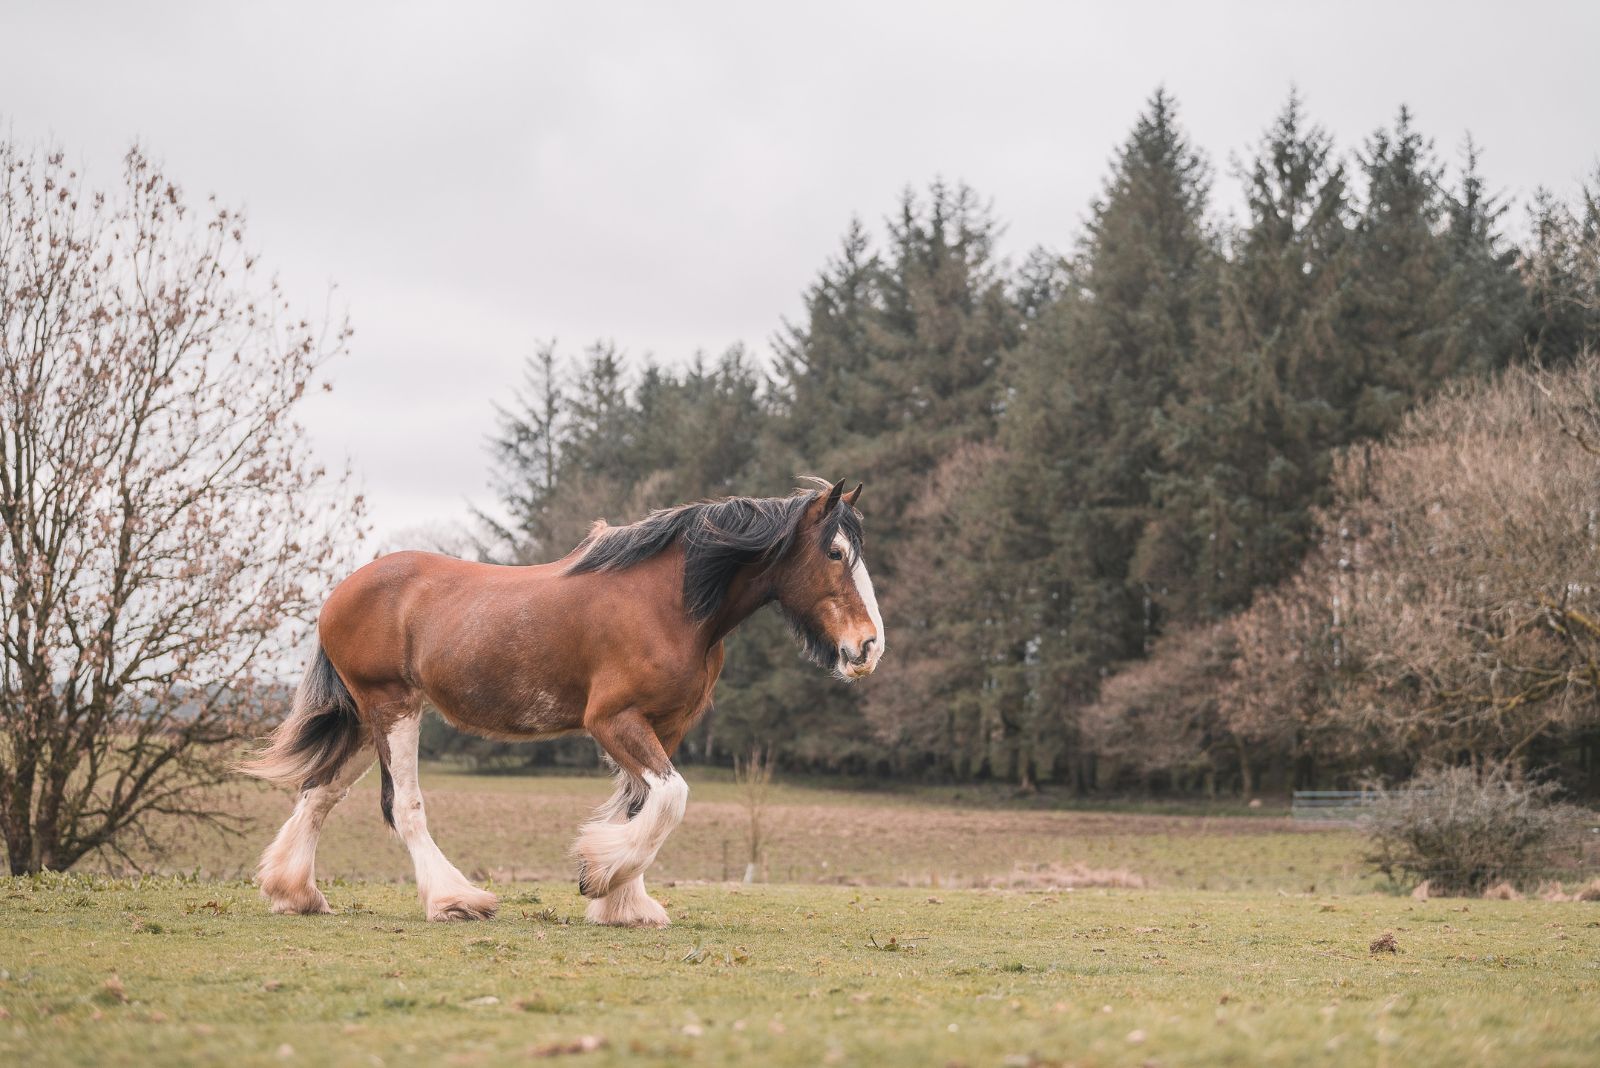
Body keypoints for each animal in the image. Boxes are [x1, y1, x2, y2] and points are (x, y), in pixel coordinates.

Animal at [243, 476, 883, 927]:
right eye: (835, 554)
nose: (868, 646)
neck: (669, 602)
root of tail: (340, 593)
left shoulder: (665, 725)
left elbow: (642, 805)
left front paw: (624, 904)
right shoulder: (612, 721)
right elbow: (670, 799)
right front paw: (599, 876)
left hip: (363, 719)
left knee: (319, 793)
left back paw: (294, 893)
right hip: (392, 707)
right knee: (404, 806)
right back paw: (453, 900)